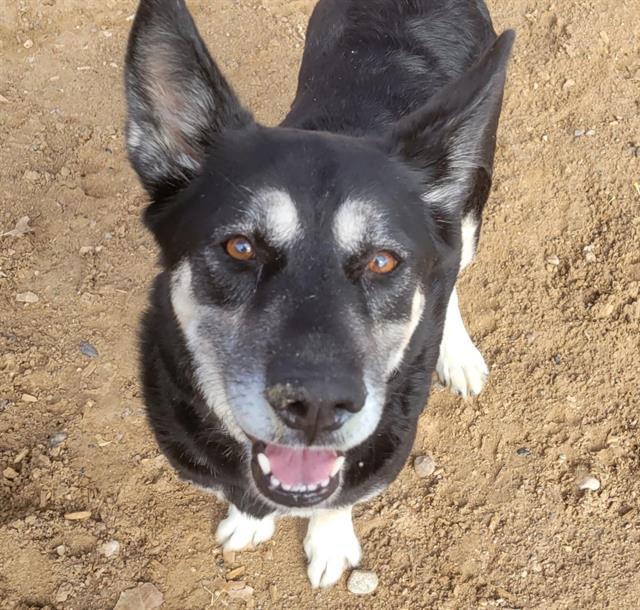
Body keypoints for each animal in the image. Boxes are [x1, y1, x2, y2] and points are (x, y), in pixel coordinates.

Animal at [125, 0, 516, 588]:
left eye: (382, 261)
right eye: (240, 247)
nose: (316, 407)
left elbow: (339, 499)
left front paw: (329, 542)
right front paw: (250, 522)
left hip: (467, 207)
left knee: (452, 270)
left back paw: (458, 351)